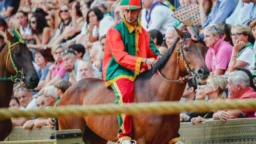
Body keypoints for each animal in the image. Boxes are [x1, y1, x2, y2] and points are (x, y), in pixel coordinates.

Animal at [59, 27, 209, 143]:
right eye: (187, 48)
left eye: (204, 48)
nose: (204, 71)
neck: (157, 96)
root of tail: (69, 90)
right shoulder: (142, 140)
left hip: (95, 137)